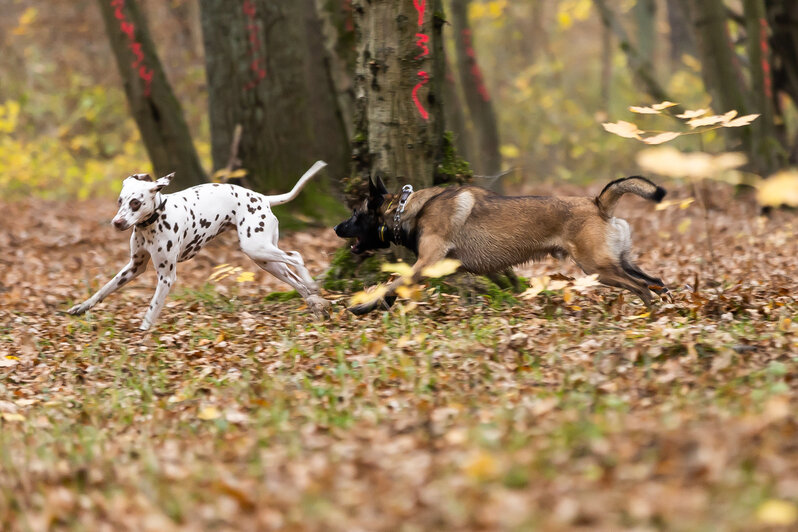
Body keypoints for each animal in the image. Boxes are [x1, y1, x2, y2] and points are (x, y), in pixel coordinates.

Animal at [67, 160, 332, 330]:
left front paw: (143, 333)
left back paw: (312, 287)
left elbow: (152, 308)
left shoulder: (166, 277)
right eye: (120, 200)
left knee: (296, 255)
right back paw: (315, 303)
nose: (117, 222)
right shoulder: (134, 267)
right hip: (265, 260)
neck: (153, 222)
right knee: (296, 281)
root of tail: (263, 198)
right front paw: (82, 306)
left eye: (135, 203)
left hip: (256, 248)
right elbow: (104, 289)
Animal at [334, 175, 672, 316]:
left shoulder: (426, 262)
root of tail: (598, 203)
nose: (336, 228)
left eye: (356, 214)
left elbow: (393, 284)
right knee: (656, 281)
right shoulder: (478, 269)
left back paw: (648, 315)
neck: (407, 209)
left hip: (598, 268)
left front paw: (364, 307)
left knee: (642, 287)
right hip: (617, 263)